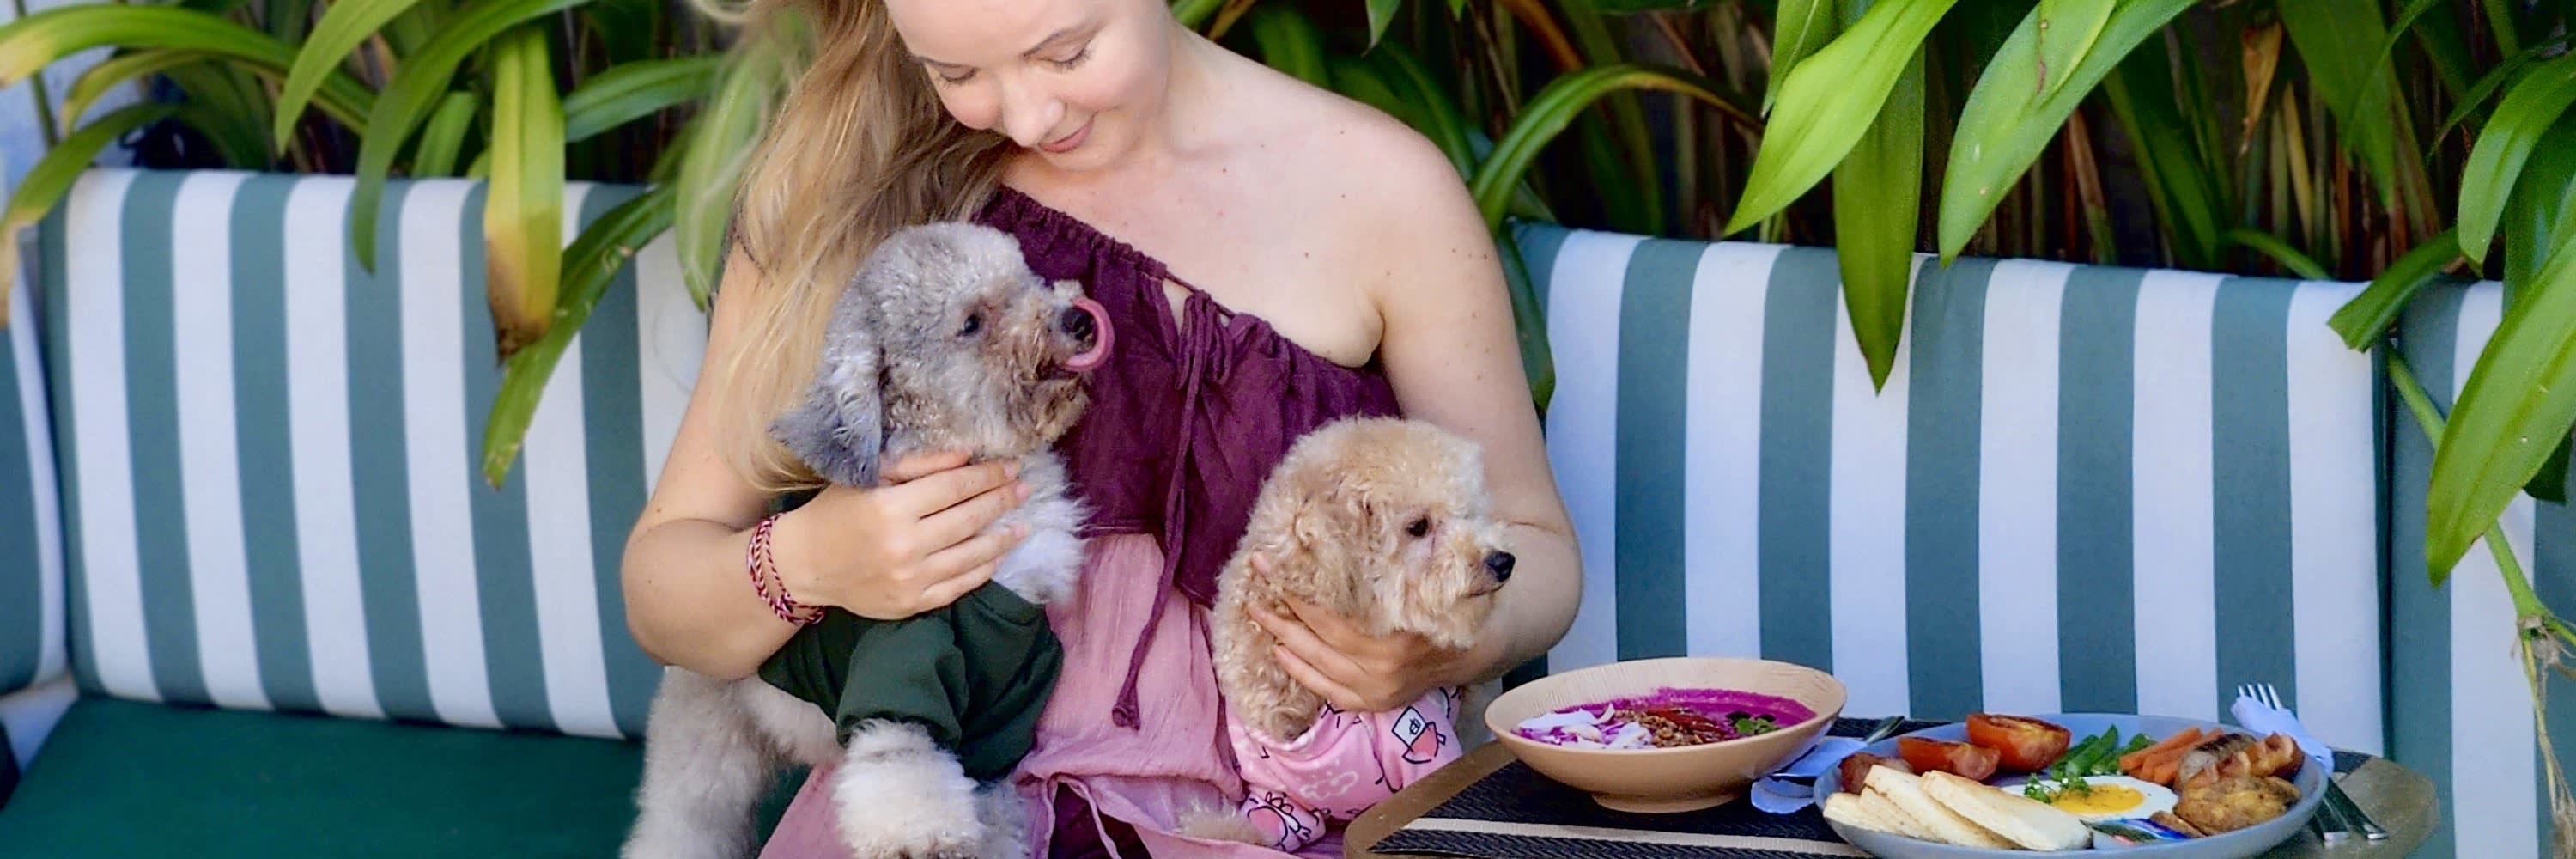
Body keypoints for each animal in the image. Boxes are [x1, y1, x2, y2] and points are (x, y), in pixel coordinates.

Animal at [621, 222, 1111, 859]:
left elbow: (994, 814)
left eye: (1029, 277)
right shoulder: (902, 666)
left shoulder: (1001, 718)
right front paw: (925, 834)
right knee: (682, 823)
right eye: (971, 322)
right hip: (707, 749)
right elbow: (901, 769)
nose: (1078, 319)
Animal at [1186, 416, 1515, 853]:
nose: (1504, 561)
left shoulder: (1425, 757)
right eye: (1418, 527)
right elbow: (1242, 832)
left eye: (1471, 513)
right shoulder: (1278, 802)